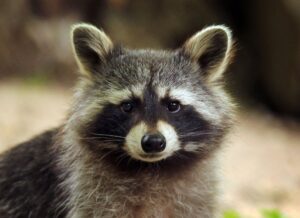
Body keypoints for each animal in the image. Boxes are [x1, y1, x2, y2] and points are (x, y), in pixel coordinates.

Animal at [0, 23, 234, 217]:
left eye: (173, 105)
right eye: (128, 106)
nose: (153, 142)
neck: (151, 168)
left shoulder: (197, 198)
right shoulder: (88, 194)